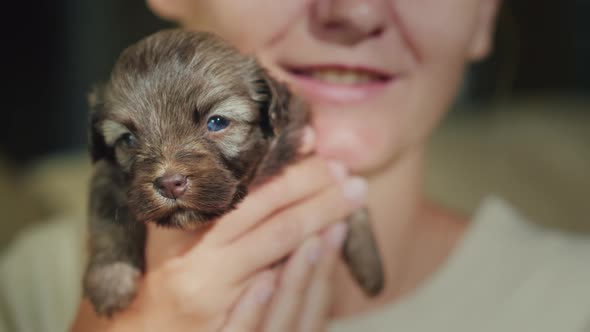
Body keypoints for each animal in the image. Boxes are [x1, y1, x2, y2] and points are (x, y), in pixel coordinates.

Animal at [85, 29, 386, 316]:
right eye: (128, 139)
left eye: (217, 122)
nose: (170, 183)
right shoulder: (107, 180)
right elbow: (108, 221)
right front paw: (111, 277)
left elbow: (349, 195)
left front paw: (368, 259)